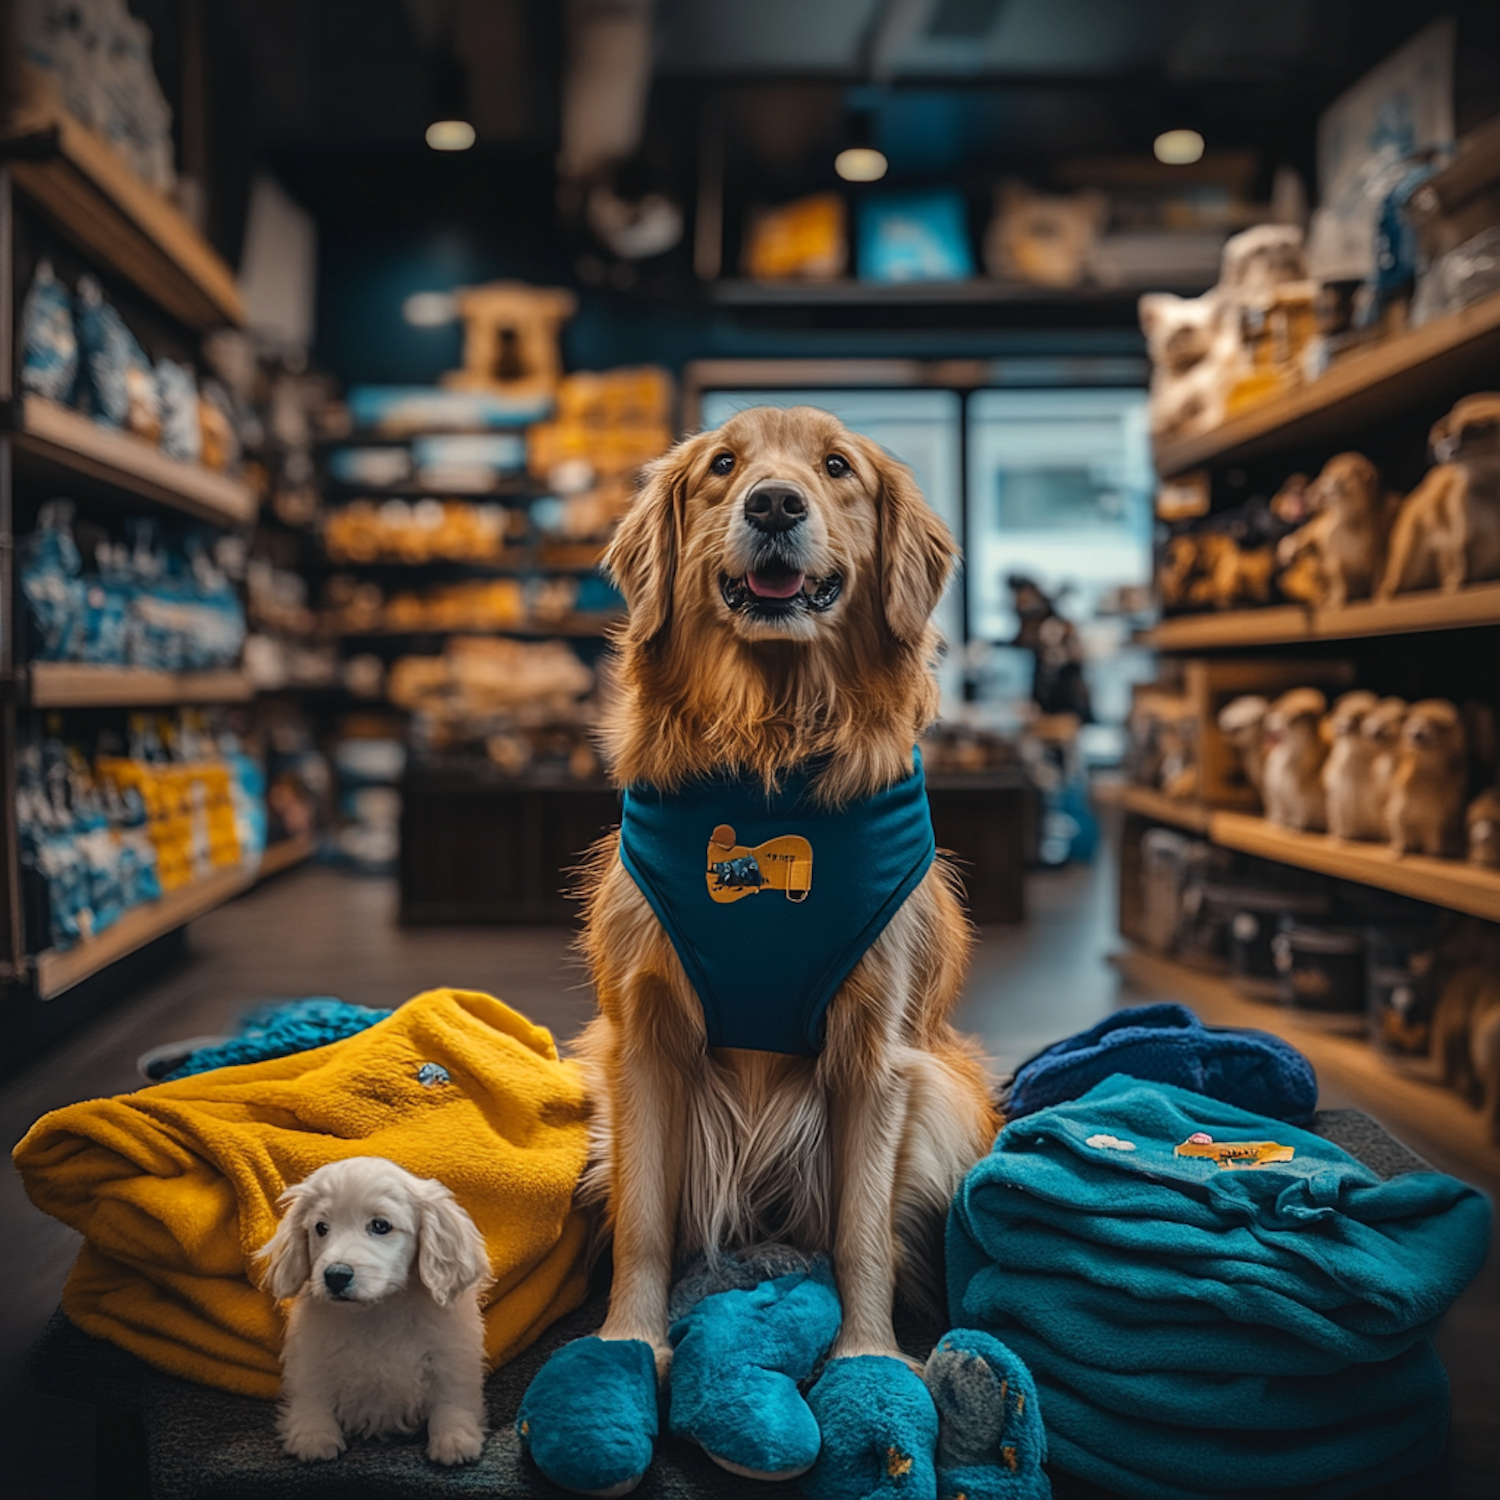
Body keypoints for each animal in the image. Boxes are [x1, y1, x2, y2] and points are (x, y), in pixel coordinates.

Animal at [256, 1158, 486, 1464]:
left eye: (380, 1225)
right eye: (321, 1227)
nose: (336, 1276)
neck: (377, 1311)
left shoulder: (450, 1353)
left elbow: (452, 1397)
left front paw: (454, 1438)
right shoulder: (312, 1352)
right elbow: (312, 1392)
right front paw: (313, 1435)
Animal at [570, 405, 996, 1386]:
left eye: (837, 468)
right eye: (723, 465)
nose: (772, 503)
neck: (768, 746)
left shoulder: (877, 1050)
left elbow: (860, 1235)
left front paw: (867, 1359)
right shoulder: (642, 1038)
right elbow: (643, 1221)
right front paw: (628, 1345)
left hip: (943, 1101)